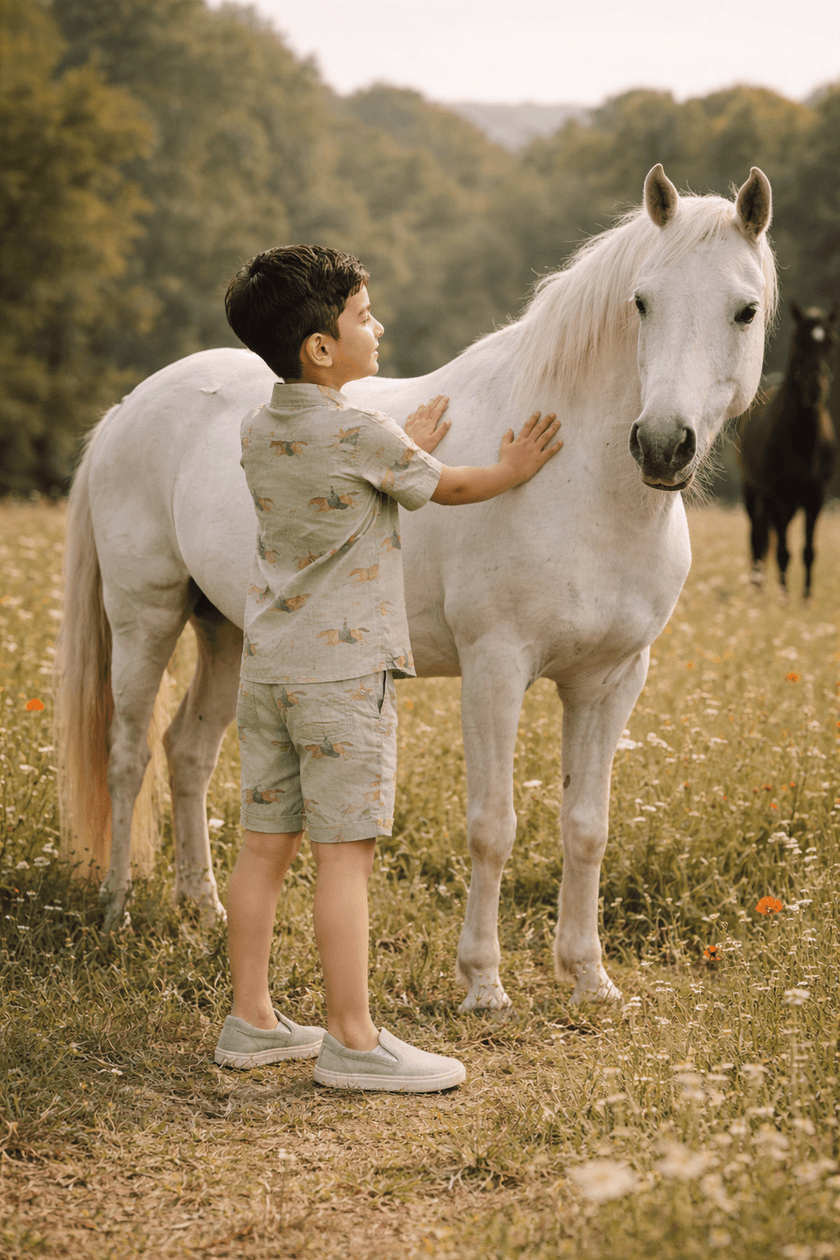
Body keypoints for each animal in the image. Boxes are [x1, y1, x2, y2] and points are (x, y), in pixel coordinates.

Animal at [54, 165, 775, 1010]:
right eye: (642, 302)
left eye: (745, 309)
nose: (662, 445)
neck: (582, 486)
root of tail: (127, 407)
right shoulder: (495, 670)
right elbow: (493, 825)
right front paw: (483, 983)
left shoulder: (611, 682)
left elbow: (587, 826)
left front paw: (588, 977)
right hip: (146, 617)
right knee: (128, 755)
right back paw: (116, 910)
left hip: (228, 632)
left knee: (188, 754)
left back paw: (202, 909)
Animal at [739, 301, 838, 597]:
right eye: (799, 339)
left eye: (831, 342)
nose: (815, 390)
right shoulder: (778, 496)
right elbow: (782, 552)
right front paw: (783, 599)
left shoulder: (815, 497)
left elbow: (808, 551)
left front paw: (806, 599)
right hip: (753, 491)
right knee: (757, 539)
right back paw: (758, 589)